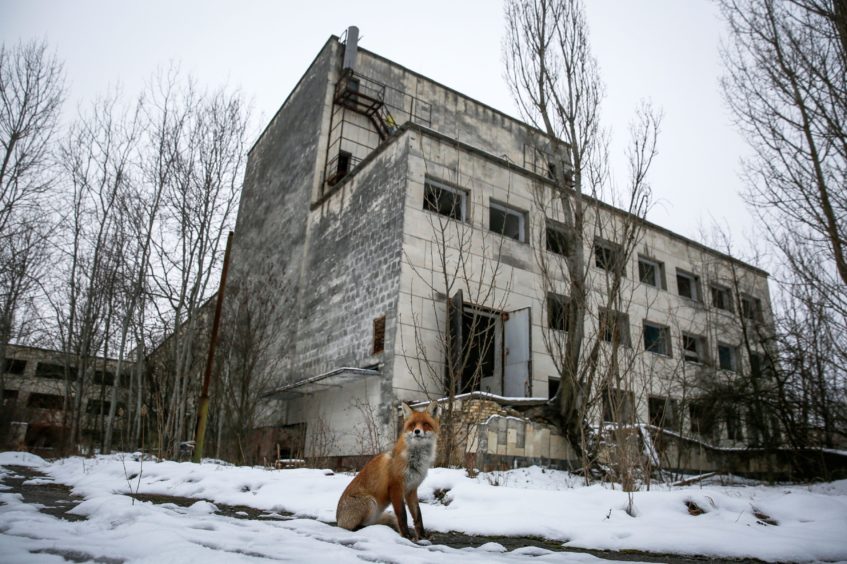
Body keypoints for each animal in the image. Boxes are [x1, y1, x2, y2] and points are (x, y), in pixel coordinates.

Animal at [336, 400, 440, 540]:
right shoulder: (395, 487)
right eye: (412, 425)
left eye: (425, 424)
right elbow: (402, 514)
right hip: (371, 502)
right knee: (355, 527)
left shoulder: (411, 490)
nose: (417, 431)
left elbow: (418, 515)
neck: (415, 460)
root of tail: (338, 521)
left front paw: (422, 536)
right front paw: (406, 536)